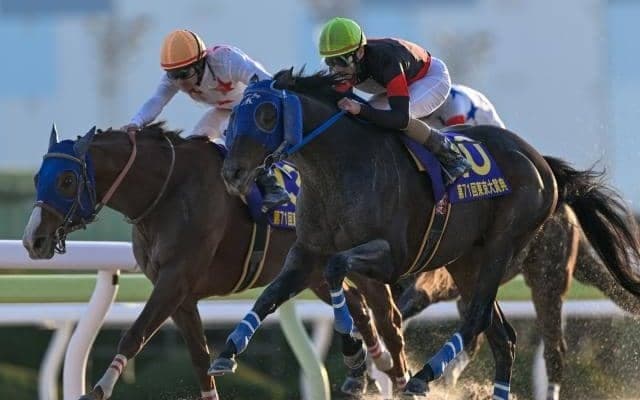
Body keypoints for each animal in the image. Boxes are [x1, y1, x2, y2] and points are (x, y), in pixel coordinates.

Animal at [21, 123, 408, 399]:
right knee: (357, 304)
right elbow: (199, 359)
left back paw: (397, 372)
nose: (33, 240)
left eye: (67, 180)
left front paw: (99, 389)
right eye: (38, 178)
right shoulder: (181, 295)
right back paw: (371, 368)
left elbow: (134, 336)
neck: (167, 192)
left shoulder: (175, 279)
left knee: (387, 315)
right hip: (311, 271)